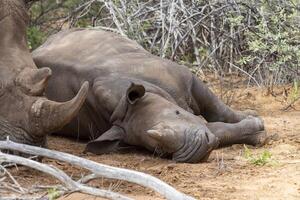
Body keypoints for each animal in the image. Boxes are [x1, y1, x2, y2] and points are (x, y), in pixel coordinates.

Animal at [33, 29, 268, 162]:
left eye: (176, 113)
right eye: (158, 149)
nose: (197, 151)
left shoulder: (185, 78)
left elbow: (216, 109)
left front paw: (255, 120)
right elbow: (216, 129)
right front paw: (257, 130)